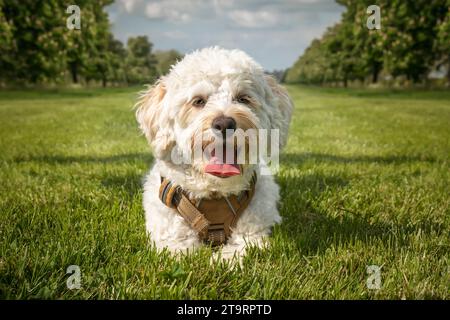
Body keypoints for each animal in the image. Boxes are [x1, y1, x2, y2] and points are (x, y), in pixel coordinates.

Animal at [135, 47, 294, 260]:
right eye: (198, 101)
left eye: (243, 98)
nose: (225, 123)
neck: (215, 192)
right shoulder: (172, 239)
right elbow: (183, 253)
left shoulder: (252, 235)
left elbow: (237, 252)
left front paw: (221, 261)